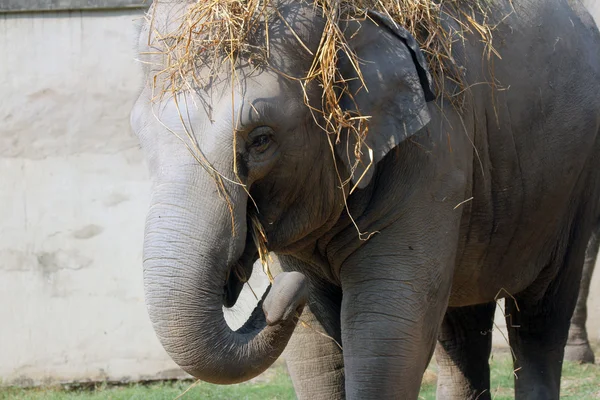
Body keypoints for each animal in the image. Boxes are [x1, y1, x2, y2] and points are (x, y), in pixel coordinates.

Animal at [131, 0, 600, 400]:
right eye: (140, 137)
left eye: (261, 139)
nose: (278, 287)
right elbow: (315, 348)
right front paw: (305, 291)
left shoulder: (432, 151)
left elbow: (385, 326)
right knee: (459, 327)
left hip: (572, 188)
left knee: (540, 317)